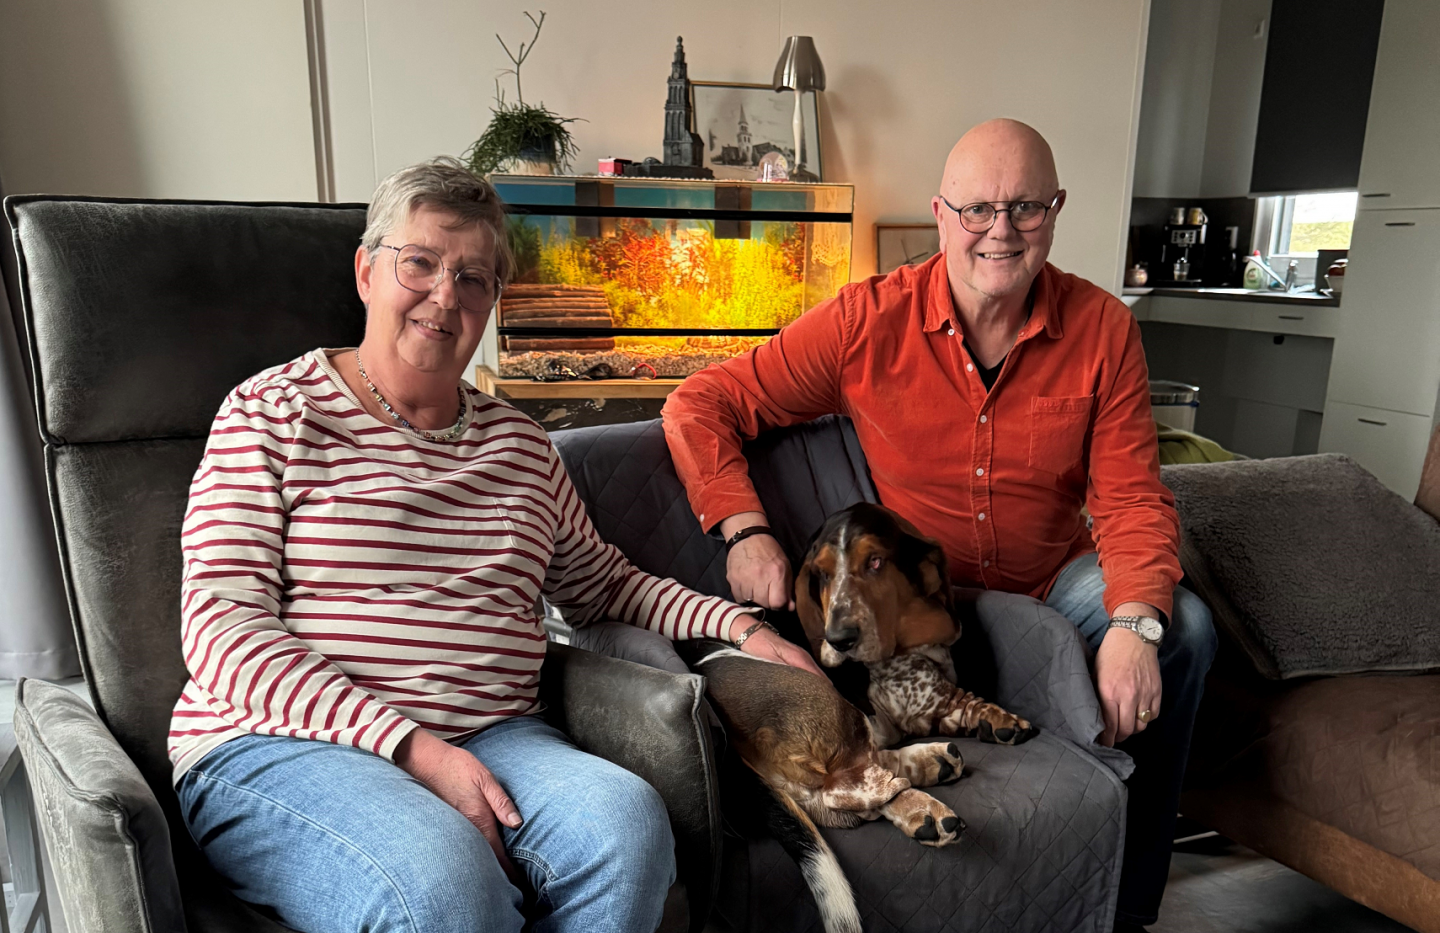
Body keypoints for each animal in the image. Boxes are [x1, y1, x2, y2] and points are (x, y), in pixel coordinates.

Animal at [689, 502, 1036, 933]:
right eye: (820, 574)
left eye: (875, 562)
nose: (838, 639)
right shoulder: (922, 698)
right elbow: (960, 699)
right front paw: (1003, 720)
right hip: (829, 702)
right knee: (852, 785)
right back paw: (923, 798)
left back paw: (933, 766)